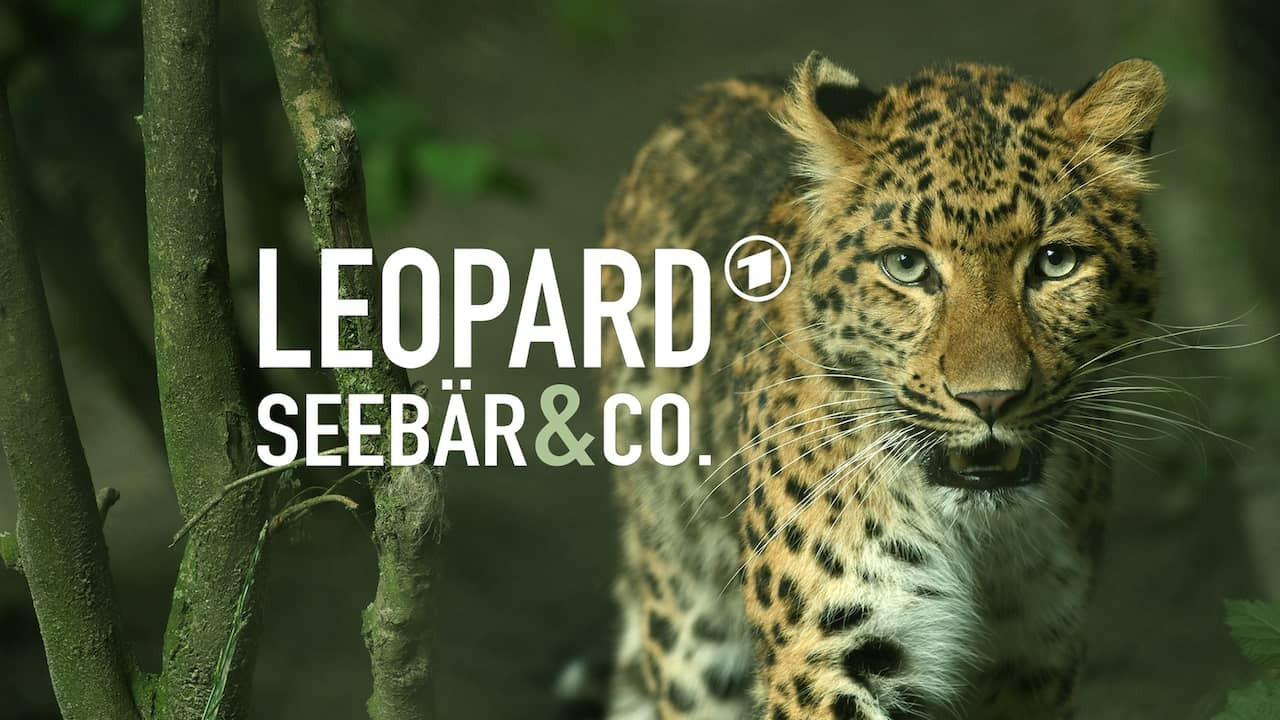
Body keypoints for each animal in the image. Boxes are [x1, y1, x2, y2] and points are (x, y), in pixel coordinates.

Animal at [587, 52, 1166, 720]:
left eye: (1055, 262)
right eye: (907, 266)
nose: (989, 399)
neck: (980, 541)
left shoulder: (1037, 656)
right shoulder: (827, 653)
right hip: (689, 618)